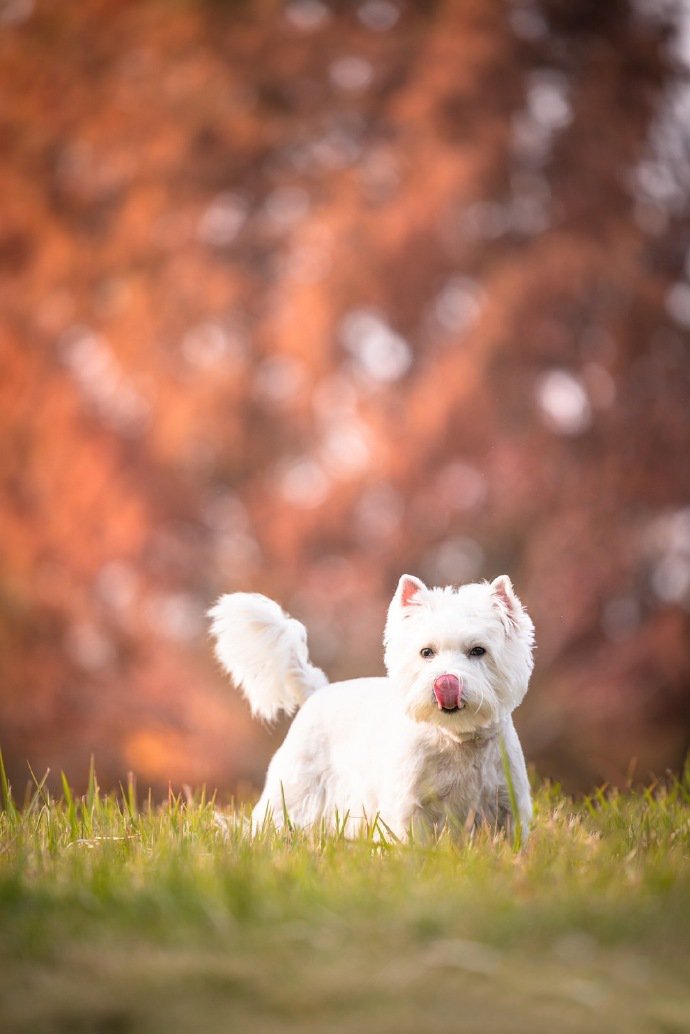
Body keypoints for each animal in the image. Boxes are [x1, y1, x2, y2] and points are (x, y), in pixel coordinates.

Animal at [207, 570, 537, 843]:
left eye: (478, 651)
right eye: (426, 652)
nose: (445, 683)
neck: (456, 740)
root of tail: (318, 691)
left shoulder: (508, 806)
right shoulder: (411, 807)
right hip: (293, 787)